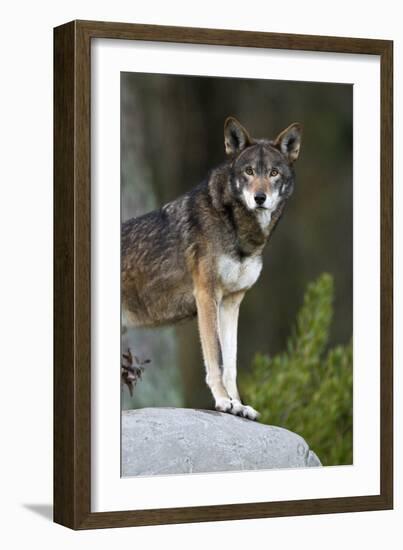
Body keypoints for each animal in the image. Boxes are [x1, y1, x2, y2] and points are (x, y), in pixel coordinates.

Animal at [122, 115, 304, 418]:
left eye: (274, 173)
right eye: (249, 171)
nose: (260, 198)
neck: (236, 227)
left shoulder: (231, 303)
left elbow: (230, 364)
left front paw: (239, 405)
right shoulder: (207, 295)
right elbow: (215, 360)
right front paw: (222, 401)